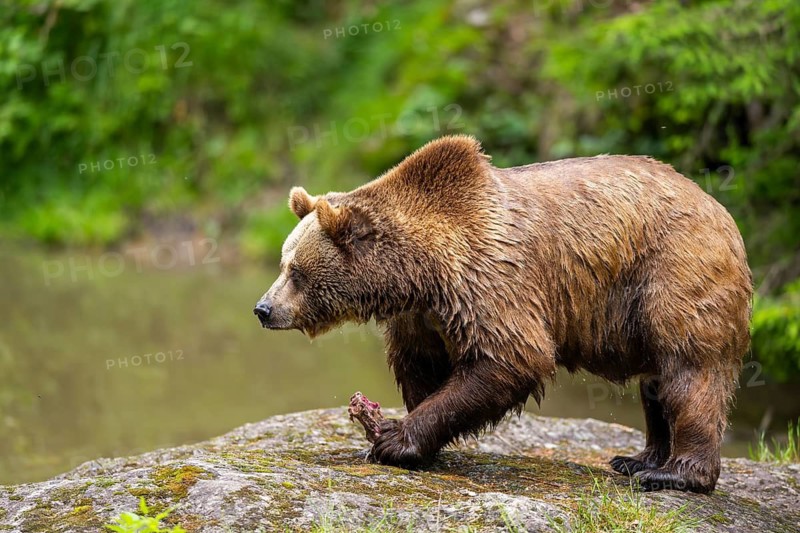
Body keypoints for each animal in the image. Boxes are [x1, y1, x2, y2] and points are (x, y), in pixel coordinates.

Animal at [253, 135, 752, 494]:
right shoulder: (423, 314)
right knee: (656, 382)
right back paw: (637, 458)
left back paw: (675, 474)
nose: (263, 308)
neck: (418, 273)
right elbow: (419, 365)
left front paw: (394, 439)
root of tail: (721, 210)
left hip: (672, 273)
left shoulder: (489, 280)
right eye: (283, 262)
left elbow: (511, 357)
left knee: (689, 371)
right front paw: (411, 439)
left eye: (296, 271)